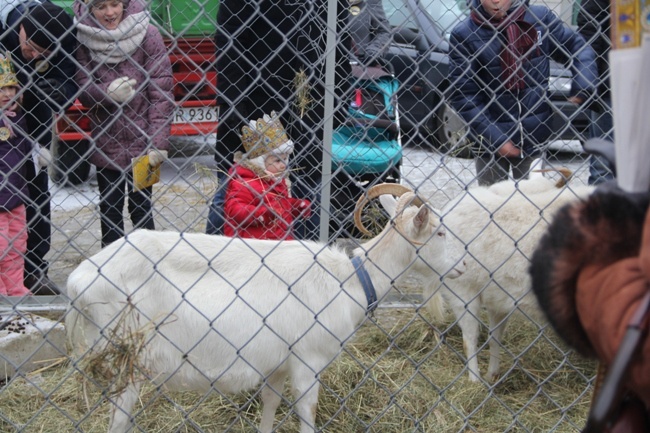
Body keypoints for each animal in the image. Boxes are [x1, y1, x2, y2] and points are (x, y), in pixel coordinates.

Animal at [64, 186, 460, 432]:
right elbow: (307, 412)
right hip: (127, 356)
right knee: (117, 419)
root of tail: (77, 281)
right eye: (439, 232)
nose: (464, 265)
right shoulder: (307, 359)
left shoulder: (277, 364)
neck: (351, 280)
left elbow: (269, 406)